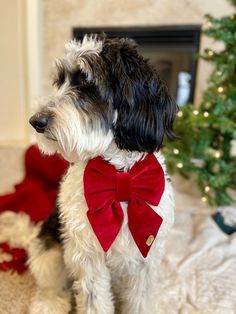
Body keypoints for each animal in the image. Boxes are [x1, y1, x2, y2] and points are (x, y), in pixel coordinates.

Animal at [28, 34, 177, 314]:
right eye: (60, 82)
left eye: (87, 83)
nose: (35, 121)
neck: (120, 178)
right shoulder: (88, 258)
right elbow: (94, 301)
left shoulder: (145, 259)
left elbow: (140, 299)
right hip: (49, 251)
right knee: (51, 285)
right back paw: (49, 303)